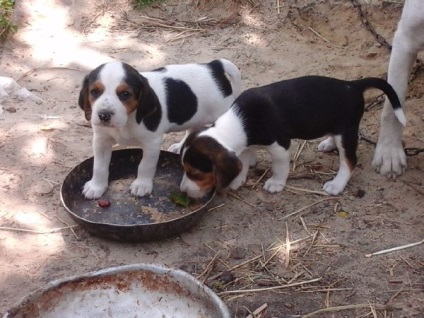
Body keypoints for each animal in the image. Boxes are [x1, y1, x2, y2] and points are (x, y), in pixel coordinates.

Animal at [77, 59, 240, 199]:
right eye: (94, 92)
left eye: (125, 94)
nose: (104, 115)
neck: (127, 120)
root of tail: (214, 66)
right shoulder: (101, 140)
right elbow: (99, 166)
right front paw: (96, 186)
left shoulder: (152, 143)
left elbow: (145, 165)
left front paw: (141, 185)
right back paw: (180, 146)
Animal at [180, 75, 408, 198]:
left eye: (195, 173)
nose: (182, 191)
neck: (237, 122)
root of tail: (352, 85)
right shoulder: (245, 146)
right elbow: (243, 162)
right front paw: (238, 179)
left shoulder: (280, 146)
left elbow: (279, 168)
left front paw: (275, 184)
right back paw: (328, 143)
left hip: (347, 132)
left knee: (349, 161)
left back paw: (336, 184)